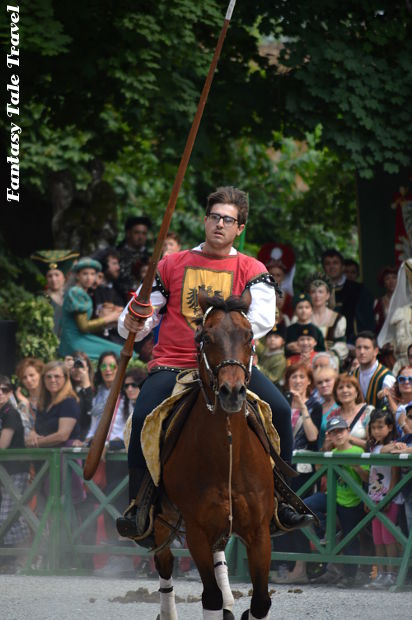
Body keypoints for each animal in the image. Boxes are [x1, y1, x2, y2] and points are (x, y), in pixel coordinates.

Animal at [154, 292, 274, 620]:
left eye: (249, 336)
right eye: (206, 337)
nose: (232, 391)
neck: (227, 454)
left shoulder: (259, 532)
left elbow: (261, 601)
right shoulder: (197, 531)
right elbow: (210, 597)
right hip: (162, 519)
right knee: (164, 562)